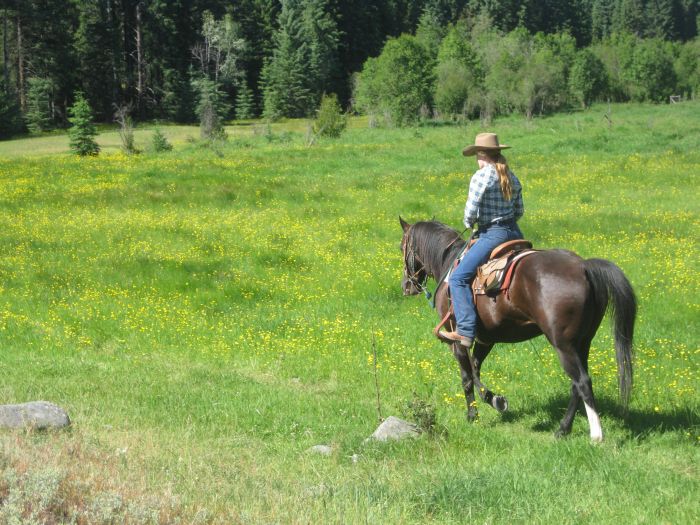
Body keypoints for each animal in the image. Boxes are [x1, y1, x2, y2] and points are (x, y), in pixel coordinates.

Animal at [400, 215, 636, 440]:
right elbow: (476, 370)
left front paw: (472, 416)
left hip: (563, 345)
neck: (449, 263)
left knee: (582, 381)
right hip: (583, 342)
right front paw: (495, 400)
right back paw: (563, 429)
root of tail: (584, 267)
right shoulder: (486, 339)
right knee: (576, 385)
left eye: (402, 247)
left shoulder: (457, 341)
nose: (406, 287)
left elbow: (467, 378)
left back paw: (595, 435)